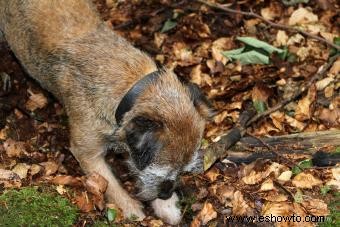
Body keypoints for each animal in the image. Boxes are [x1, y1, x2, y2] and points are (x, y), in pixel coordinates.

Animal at [0, 0, 212, 223]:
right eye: (163, 174)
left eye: (182, 171)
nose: (165, 194)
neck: (130, 88)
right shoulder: (87, 154)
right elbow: (110, 184)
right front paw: (131, 208)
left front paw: (167, 207)